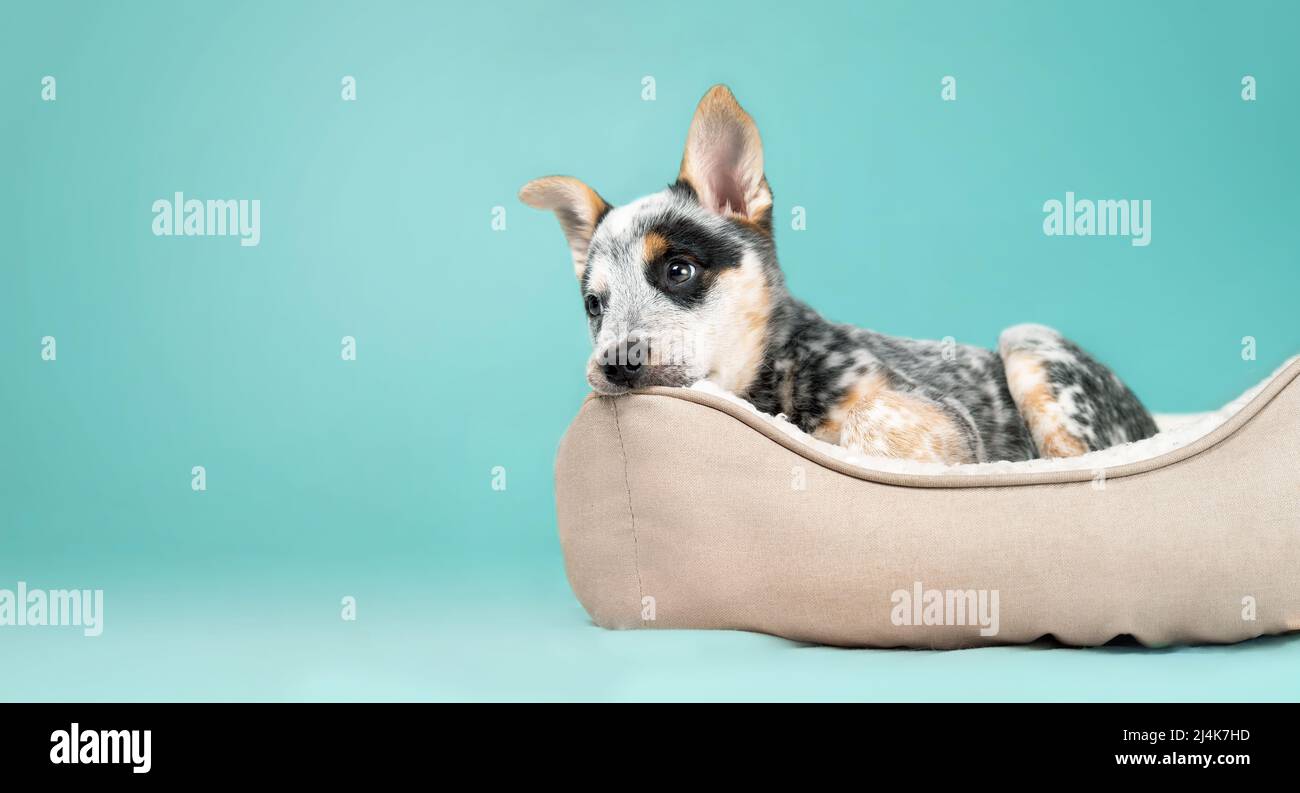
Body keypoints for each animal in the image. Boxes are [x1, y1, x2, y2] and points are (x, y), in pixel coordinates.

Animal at [517, 85, 1159, 462]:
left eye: (678, 270)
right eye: (594, 305)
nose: (613, 365)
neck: (771, 376)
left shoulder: (946, 419)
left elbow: (862, 422)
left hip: (1029, 344)